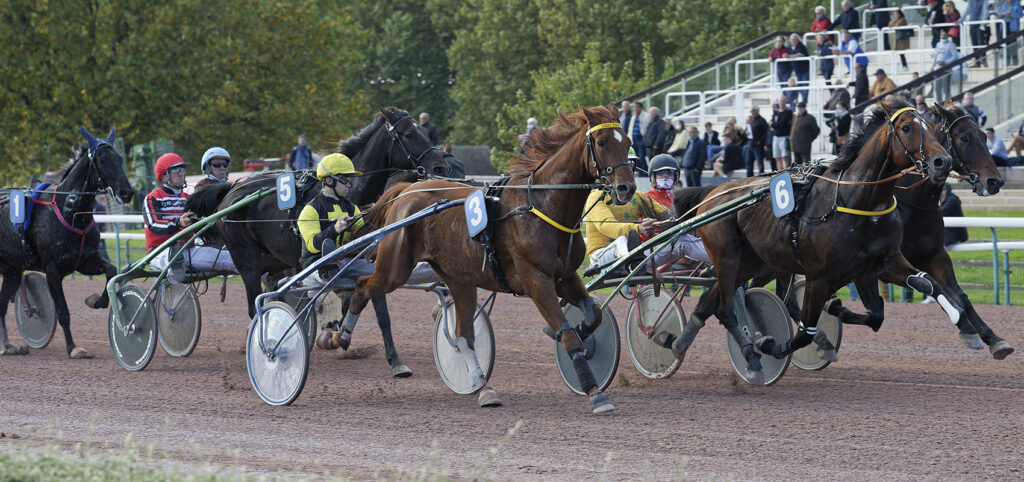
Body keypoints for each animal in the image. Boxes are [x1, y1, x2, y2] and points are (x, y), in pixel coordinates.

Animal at [0, 128, 134, 358]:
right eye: (101, 160)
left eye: (119, 158)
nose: (127, 192)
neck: (70, 212)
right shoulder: (52, 269)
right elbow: (63, 311)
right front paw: (73, 347)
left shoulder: (85, 260)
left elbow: (111, 270)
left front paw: (96, 301)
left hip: (12, 269)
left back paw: (7, 346)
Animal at [186, 107, 462, 378]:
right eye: (409, 135)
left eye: (425, 132)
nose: (441, 168)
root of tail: (231, 189)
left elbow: (373, 310)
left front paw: (390, 359)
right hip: (247, 262)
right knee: (256, 306)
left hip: (275, 261)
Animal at [323, 103, 634, 413]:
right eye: (602, 142)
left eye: (628, 142)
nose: (626, 188)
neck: (540, 205)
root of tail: (406, 191)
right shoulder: (537, 281)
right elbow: (567, 334)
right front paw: (595, 392)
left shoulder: (566, 277)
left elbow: (593, 314)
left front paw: (578, 332)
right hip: (395, 269)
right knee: (362, 287)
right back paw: (340, 335)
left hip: (458, 277)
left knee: (463, 335)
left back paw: (483, 388)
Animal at [655, 95, 958, 380]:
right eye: (907, 127)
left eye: (930, 125)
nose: (942, 162)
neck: (856, 200)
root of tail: (713, 194)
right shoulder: (819, 277)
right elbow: (804, 332)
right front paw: (770, 345)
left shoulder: (881, 263)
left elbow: (910, 295)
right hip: (727, 258)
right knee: (726, 309)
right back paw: (751, 360)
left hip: (749, 262)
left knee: (711, 301)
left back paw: (675, 342)